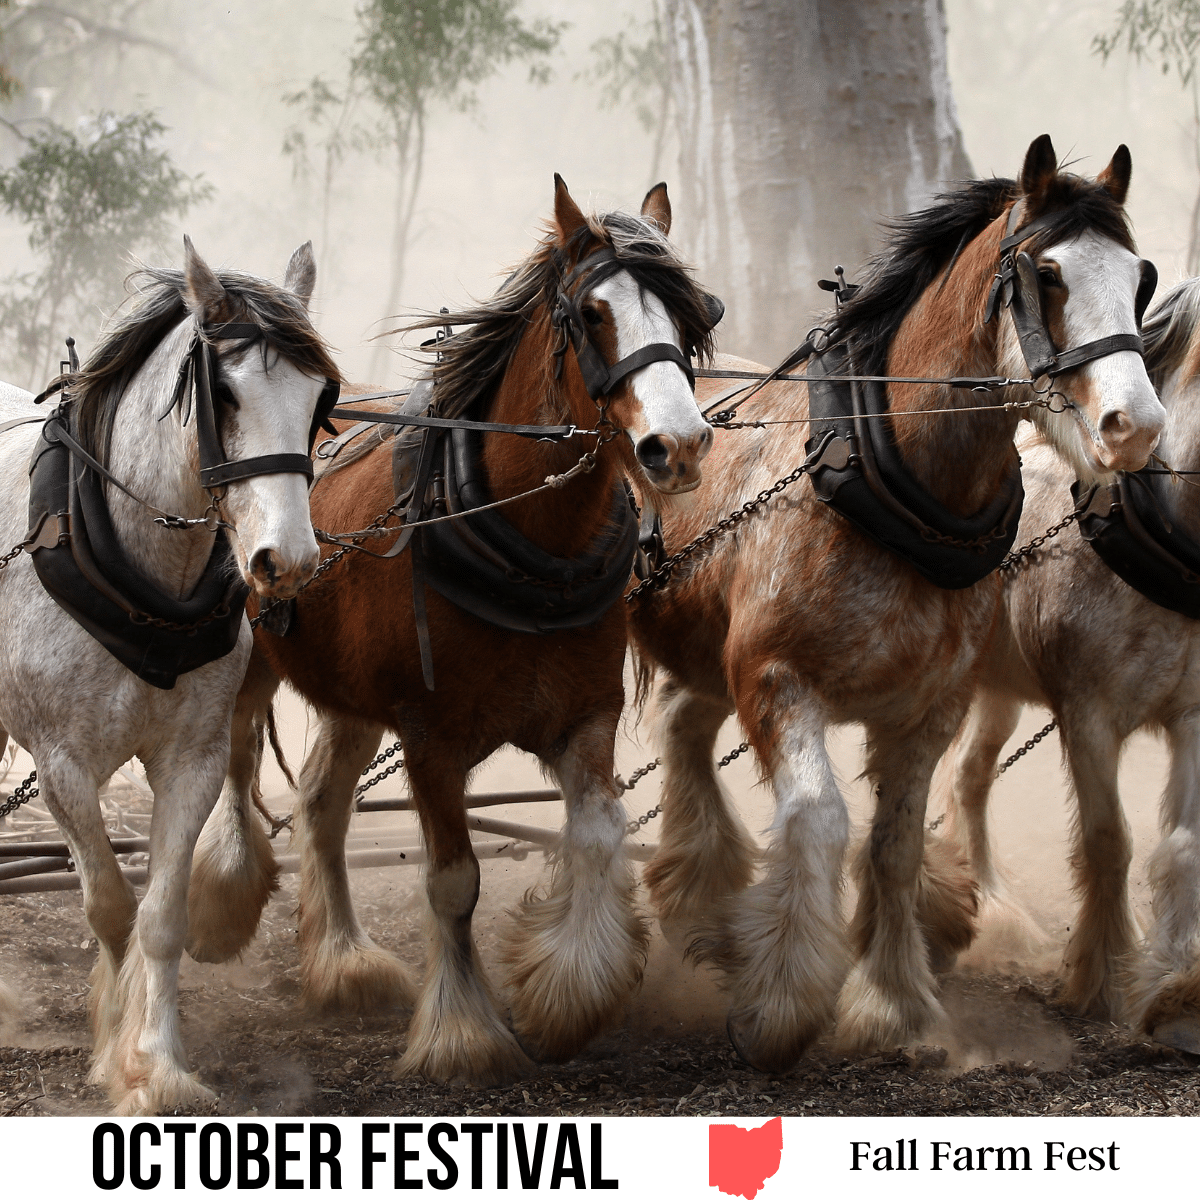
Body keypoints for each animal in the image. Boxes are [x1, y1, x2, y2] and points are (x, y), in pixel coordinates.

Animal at [0, 241, 338, 1113]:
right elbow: (109, 904)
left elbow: (159, 916)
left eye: (320, 398)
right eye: (225, 392)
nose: (286, 561)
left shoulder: (192, 759)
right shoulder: (62, 766)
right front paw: (116, 1041)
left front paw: (155, 1060)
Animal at [182, 180, 715, 1089]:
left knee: (321, 802)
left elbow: (599, 837)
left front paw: (571, 991)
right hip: (254, 667)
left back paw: (345, 962)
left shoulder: (586, 718)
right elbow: (454, 883)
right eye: (592, 313)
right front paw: (463, 1033)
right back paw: (225, 896)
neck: (531, 543)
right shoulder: (432, 740)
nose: (675, 445)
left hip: (352, 697)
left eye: (689, 314)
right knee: (242, 760)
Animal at [624, 136, 1166, 1075]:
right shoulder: (776, 681)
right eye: (1048, 274)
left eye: (1139, 278)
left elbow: (894, 844)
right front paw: (784, 999)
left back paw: (703, 899)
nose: (1135, 426)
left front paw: (893, 1006)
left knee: (683, 728)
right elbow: (817, 821)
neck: (885, 480)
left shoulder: (929, 705)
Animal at [945, 276, 1200, 1056]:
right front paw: (1103, 979)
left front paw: (1177, 990)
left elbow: (1183, 846)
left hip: (1000, 694)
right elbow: (1109, 841)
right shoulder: (1089, 714)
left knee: (970, 780)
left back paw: (993, 905)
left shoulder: (1193, 715)